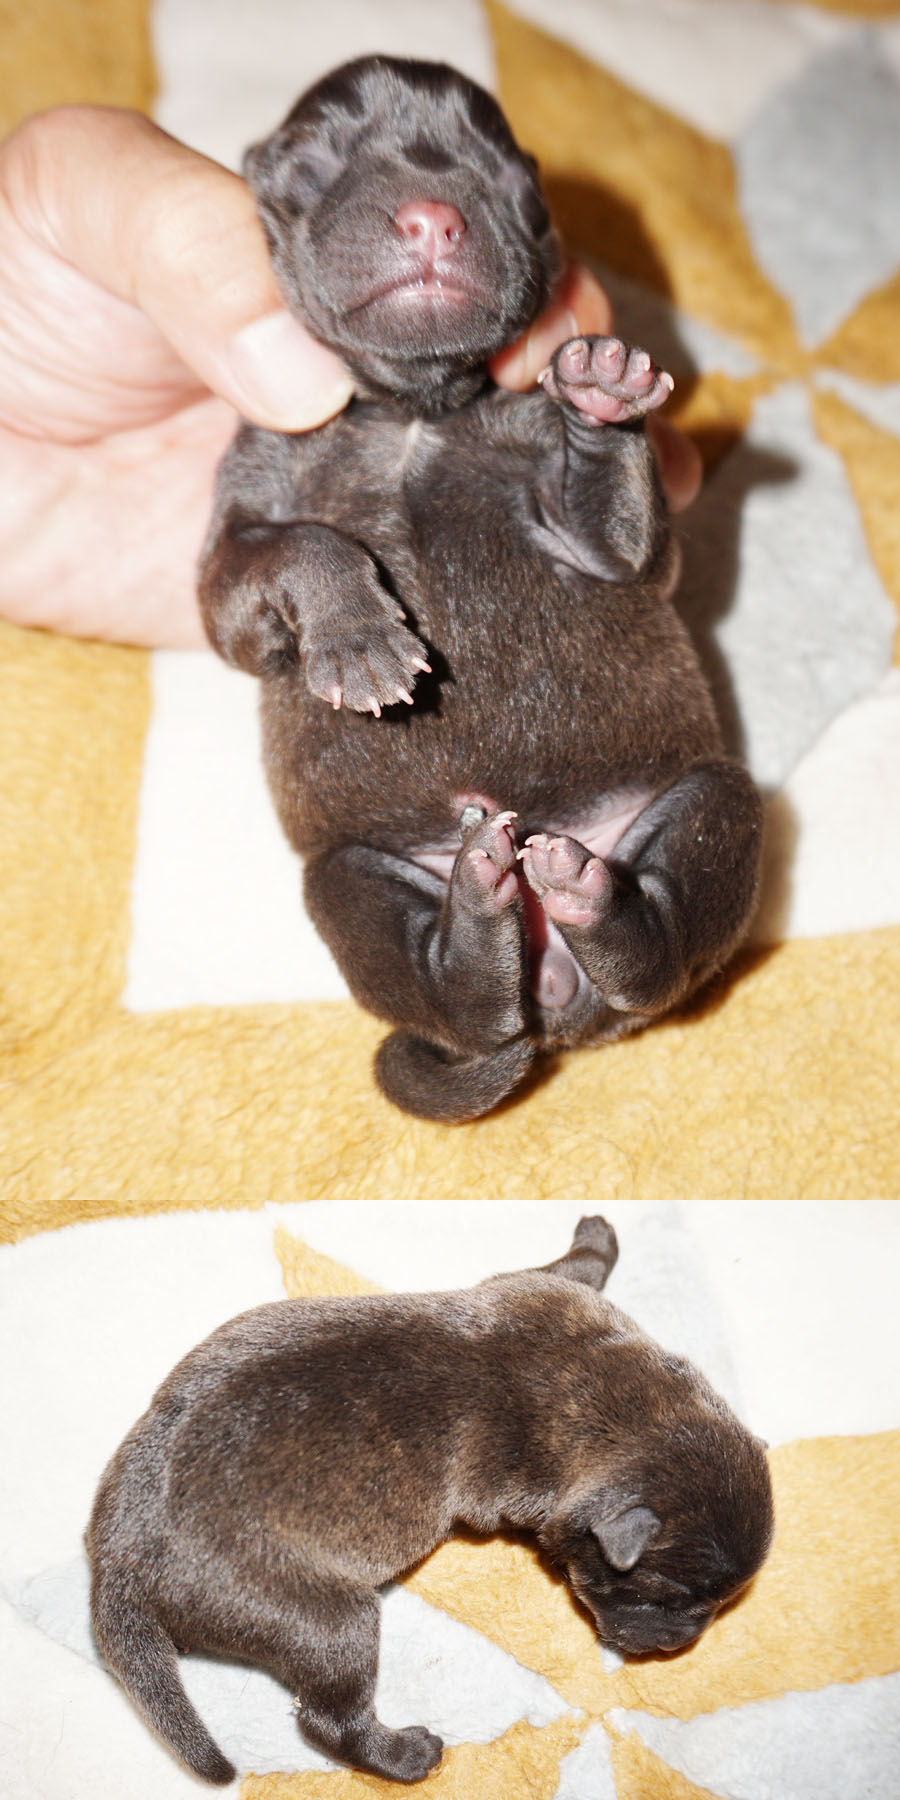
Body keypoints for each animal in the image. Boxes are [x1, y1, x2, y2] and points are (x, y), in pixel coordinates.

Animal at [87, 1215, 773, 1786]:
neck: (597, 1391)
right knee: (326, 1719)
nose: (679, 1644)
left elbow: (573, 1267)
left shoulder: (544, 1294)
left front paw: (597, 1234)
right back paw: (408, 1756)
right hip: (327, 1619)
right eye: (661, 1599)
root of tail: (119, 1572)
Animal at [198, 57, 763, 1121]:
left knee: (669, 938)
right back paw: (473, 926)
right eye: (314, 166)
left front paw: (600, 397)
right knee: (452, 997)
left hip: (709, 799)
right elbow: (289, 552)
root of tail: (564, 999)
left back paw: (596, 903)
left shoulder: (614, 539)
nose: (431, 217)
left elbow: (633, 549)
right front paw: (360, 639)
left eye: (513, 187)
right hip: (349, 878)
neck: (413, 409)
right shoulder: (236, 533)